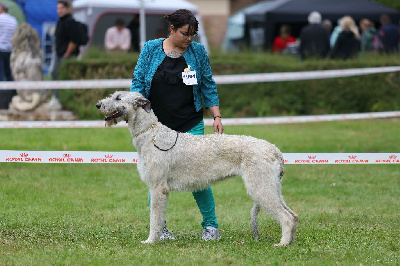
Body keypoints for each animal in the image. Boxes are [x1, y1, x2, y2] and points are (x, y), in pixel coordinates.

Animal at [96, 91, 296, 245]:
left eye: (118, 97)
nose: (98, 105)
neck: (150, 133)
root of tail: (275, 150)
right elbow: (159, 217)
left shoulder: (158, 187)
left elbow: (155, 218)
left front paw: (151, 241)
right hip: (272, 187)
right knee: (293, 215)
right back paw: (291, 241)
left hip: (260, 187)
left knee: (286, 217)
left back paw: (283, 244)